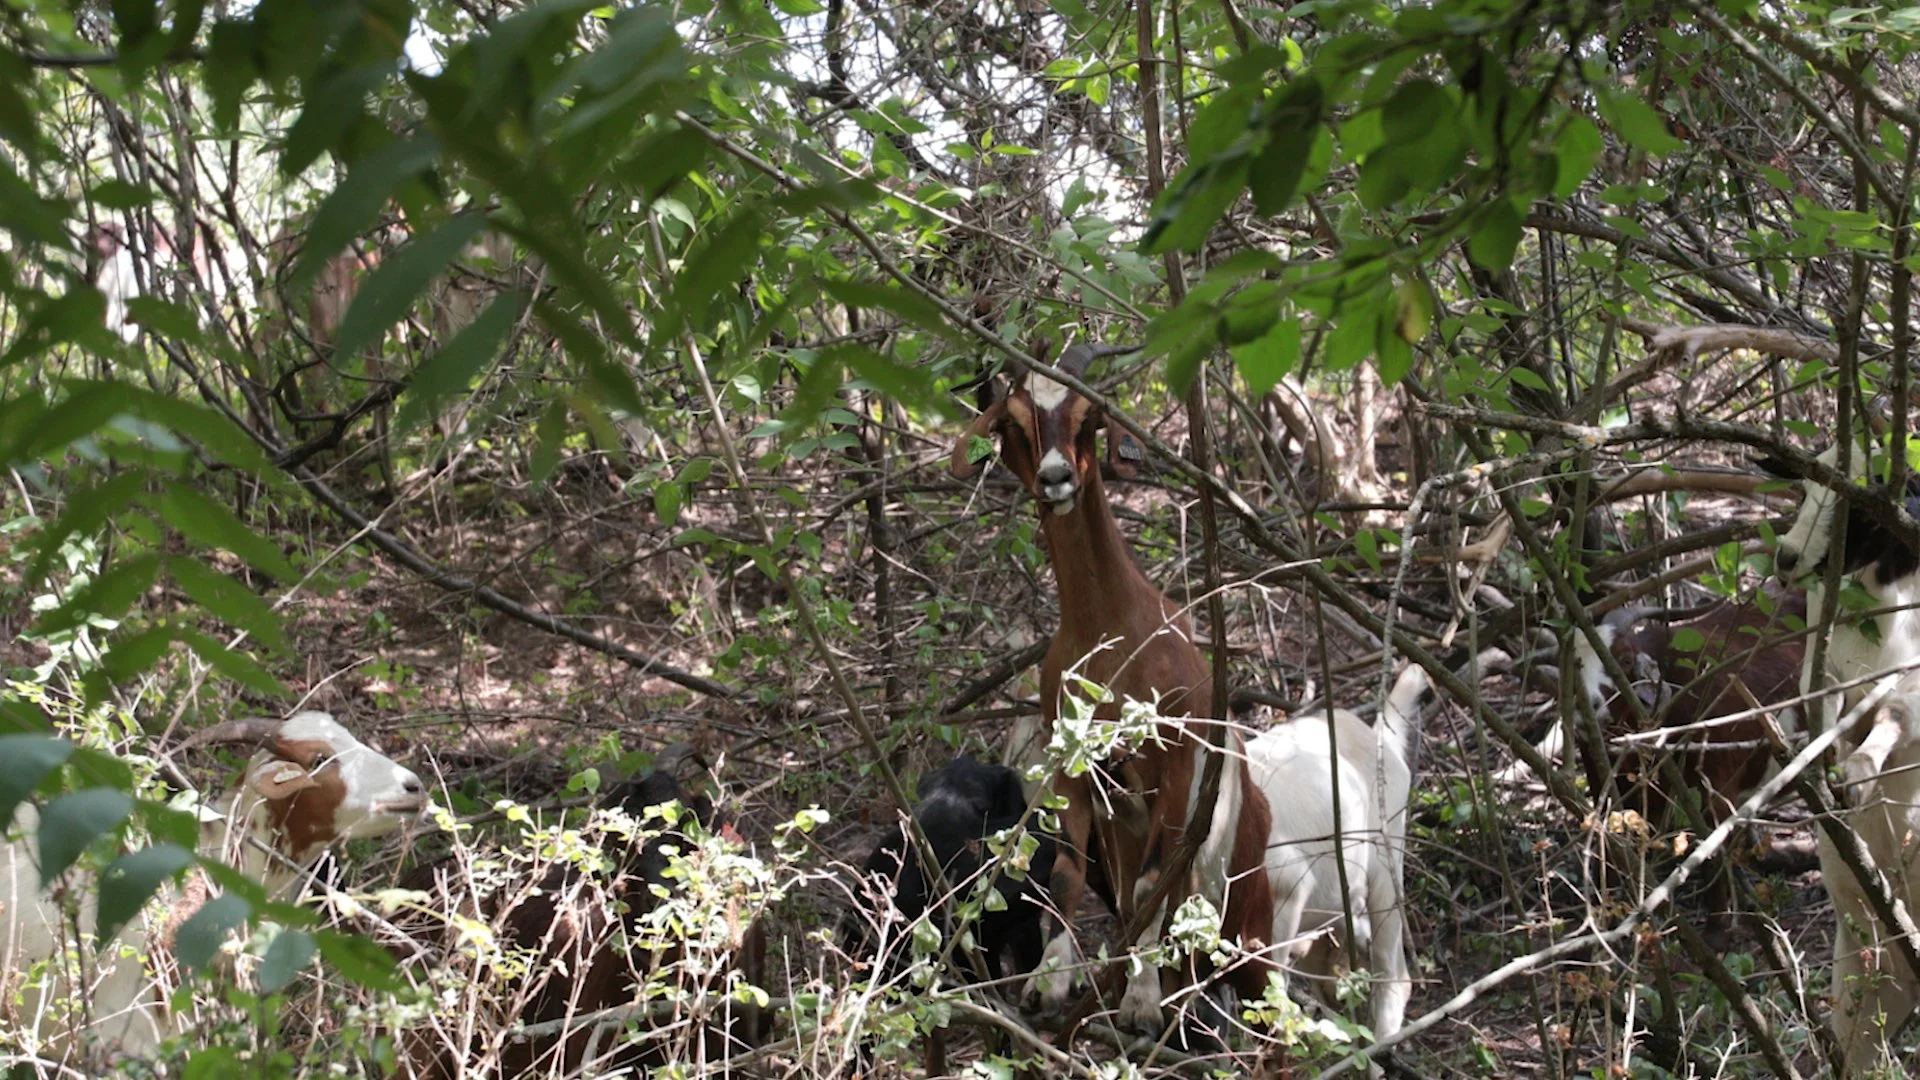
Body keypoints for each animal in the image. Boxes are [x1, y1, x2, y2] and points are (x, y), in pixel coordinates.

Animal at [951, 341, 1278, 1032]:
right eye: (1013, 423)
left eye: (1088, 418)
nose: (1055, 479)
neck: (1115, 635)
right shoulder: (1070, 766)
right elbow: (1067, 873)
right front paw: (1049, 982)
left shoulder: (1177, 761)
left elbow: (1155, 882)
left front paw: (1141, 1001)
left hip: (1252, 927)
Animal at [1245, 663, 1429, 1062]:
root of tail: (1377, 737)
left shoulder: (1286, 884)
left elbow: (1270, 984)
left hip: (1386, 863)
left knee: (1392, 963)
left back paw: (1379, 1045)